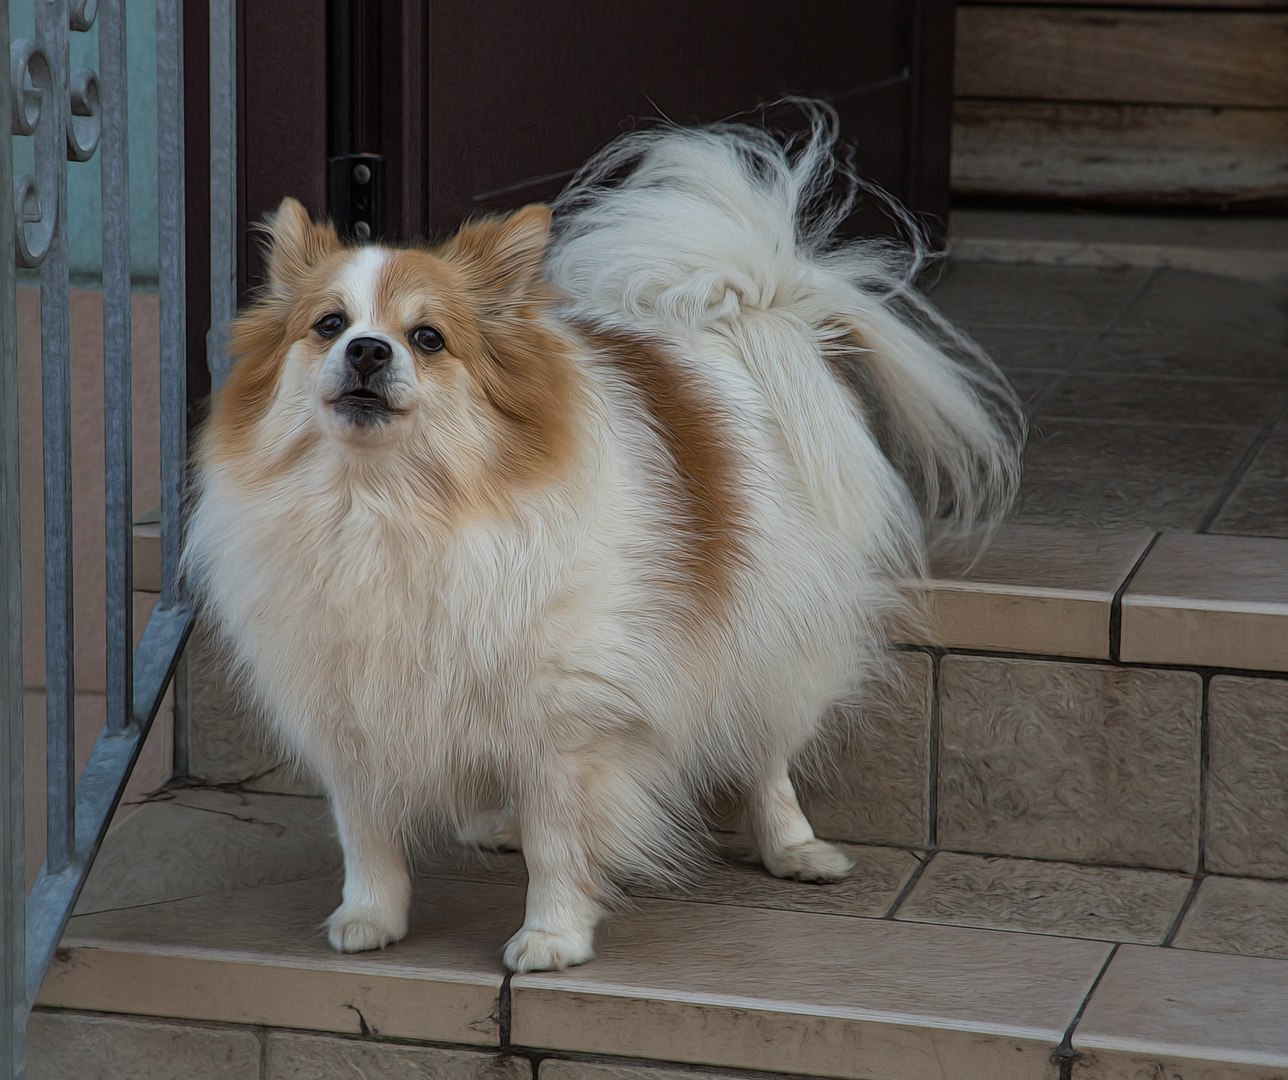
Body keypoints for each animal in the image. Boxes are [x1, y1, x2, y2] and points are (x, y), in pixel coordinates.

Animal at [184, 115, 1025, 973]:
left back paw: (793, 848)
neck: (388, 506)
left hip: (771, 634)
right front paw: (370, 916)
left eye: (427, 339)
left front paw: (553, 935)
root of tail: (736, 321)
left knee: (766, 753)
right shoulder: (351, 705)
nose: (366, 350)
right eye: (328, 325)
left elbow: (562, 837)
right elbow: (367, 831)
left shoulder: (566, 715)